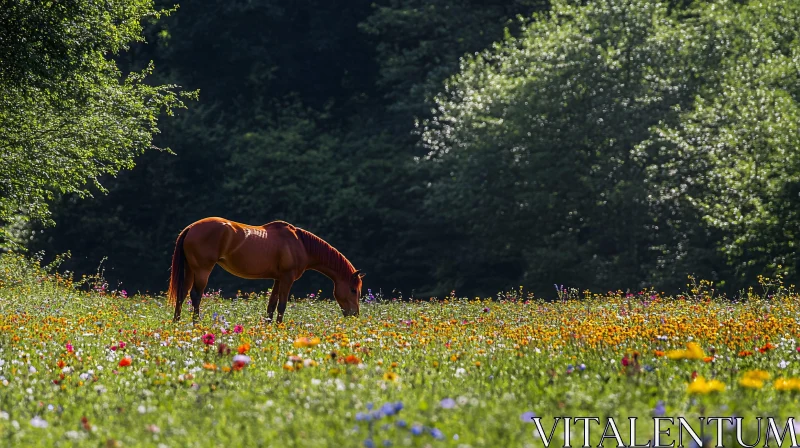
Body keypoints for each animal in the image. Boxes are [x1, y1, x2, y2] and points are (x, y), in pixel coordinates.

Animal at [170, 216, 368, 322]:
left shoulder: (278, 279)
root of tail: (191, 228)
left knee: (182, 294)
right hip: (202, 270)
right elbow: (282, 305)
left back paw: (177, 323)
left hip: (190, 270)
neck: (301, 244)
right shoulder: (287, 278)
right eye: (353, 290)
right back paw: (196, 324)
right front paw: (279, 328)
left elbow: (271, 306)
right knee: (196, 295)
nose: (354, 315)